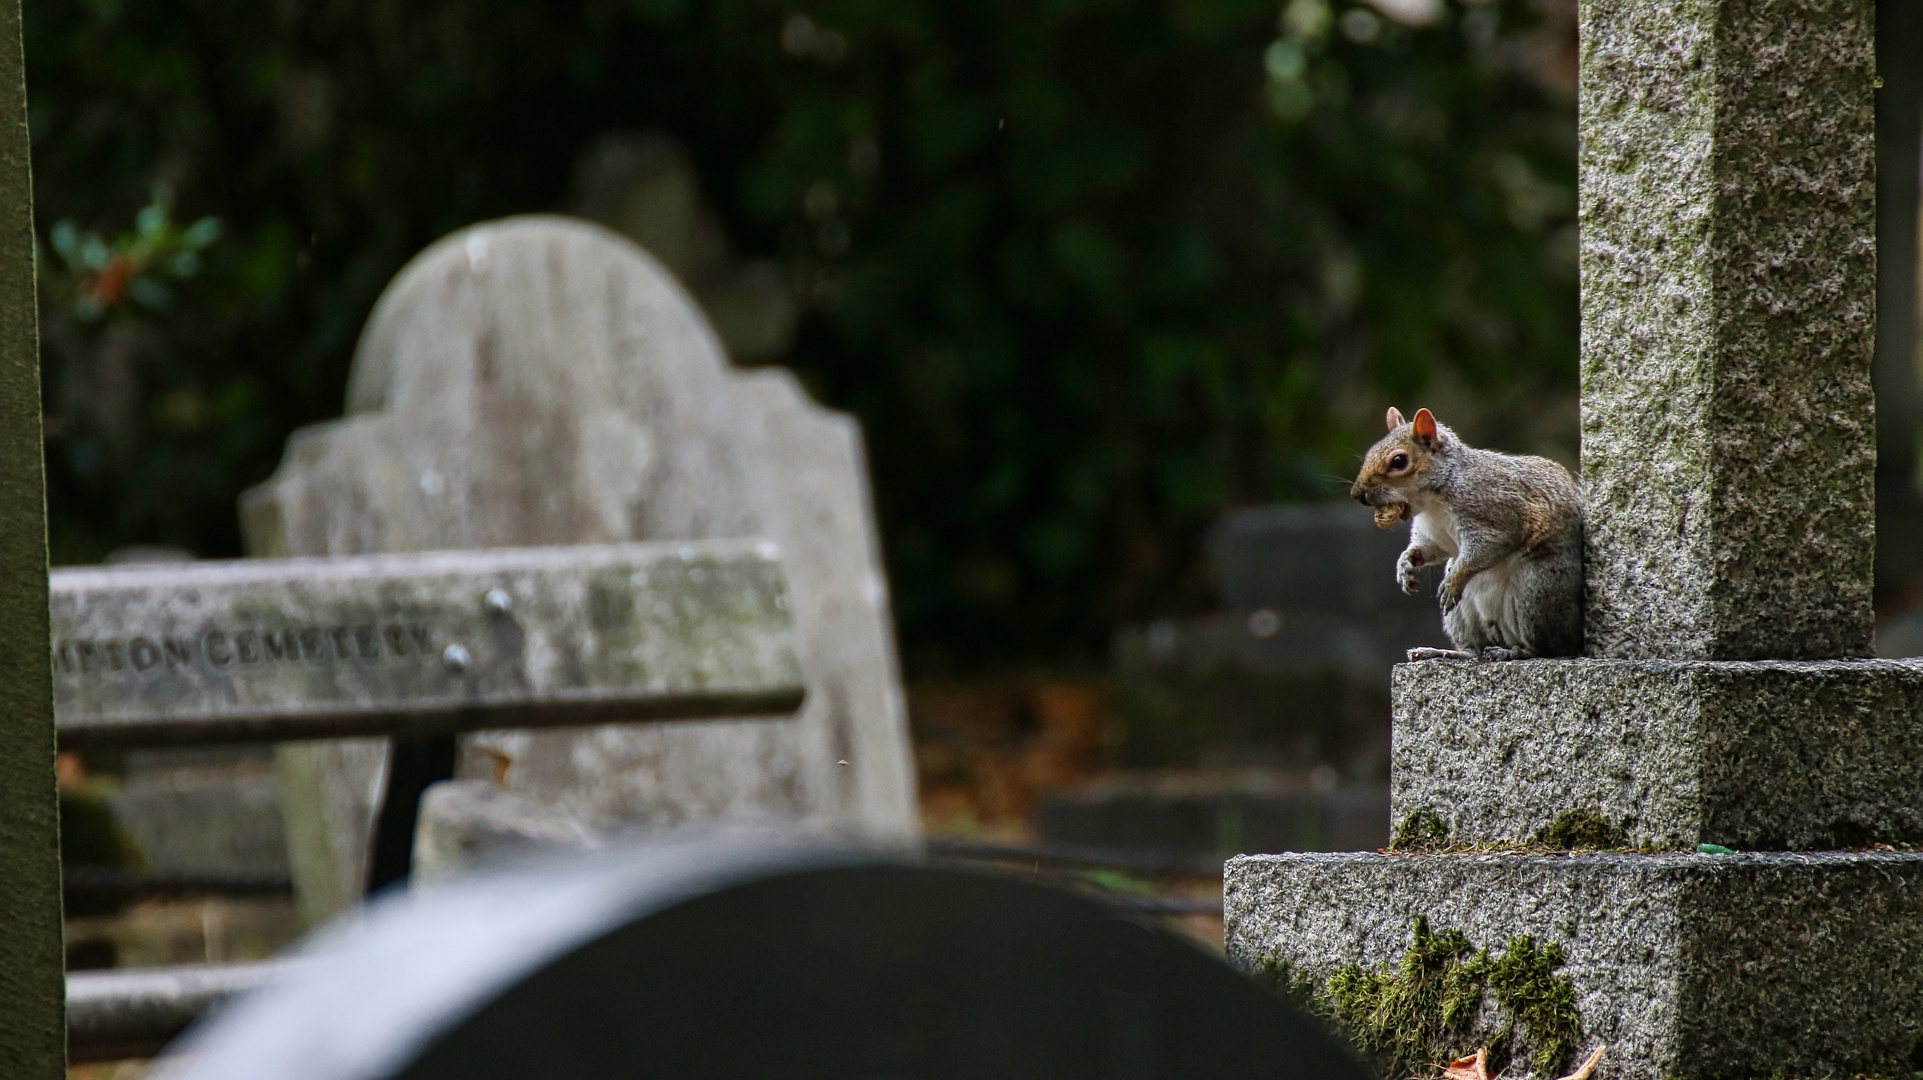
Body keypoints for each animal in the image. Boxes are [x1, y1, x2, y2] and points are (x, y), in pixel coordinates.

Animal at [1346, 403, 1584, 657]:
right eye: (1370, 453)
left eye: (1399, 461)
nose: (1357, 494)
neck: (1434, 502)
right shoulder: (1433, 534)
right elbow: (1427, 549)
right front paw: (1405, 564)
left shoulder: (1492, 514)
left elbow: (1484, 549)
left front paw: (1453, 582)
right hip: (1462, 617)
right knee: (1474, 650)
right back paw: (1442, 652)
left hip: (1536, 593)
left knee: (1547, 646)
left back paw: (1515, 652)